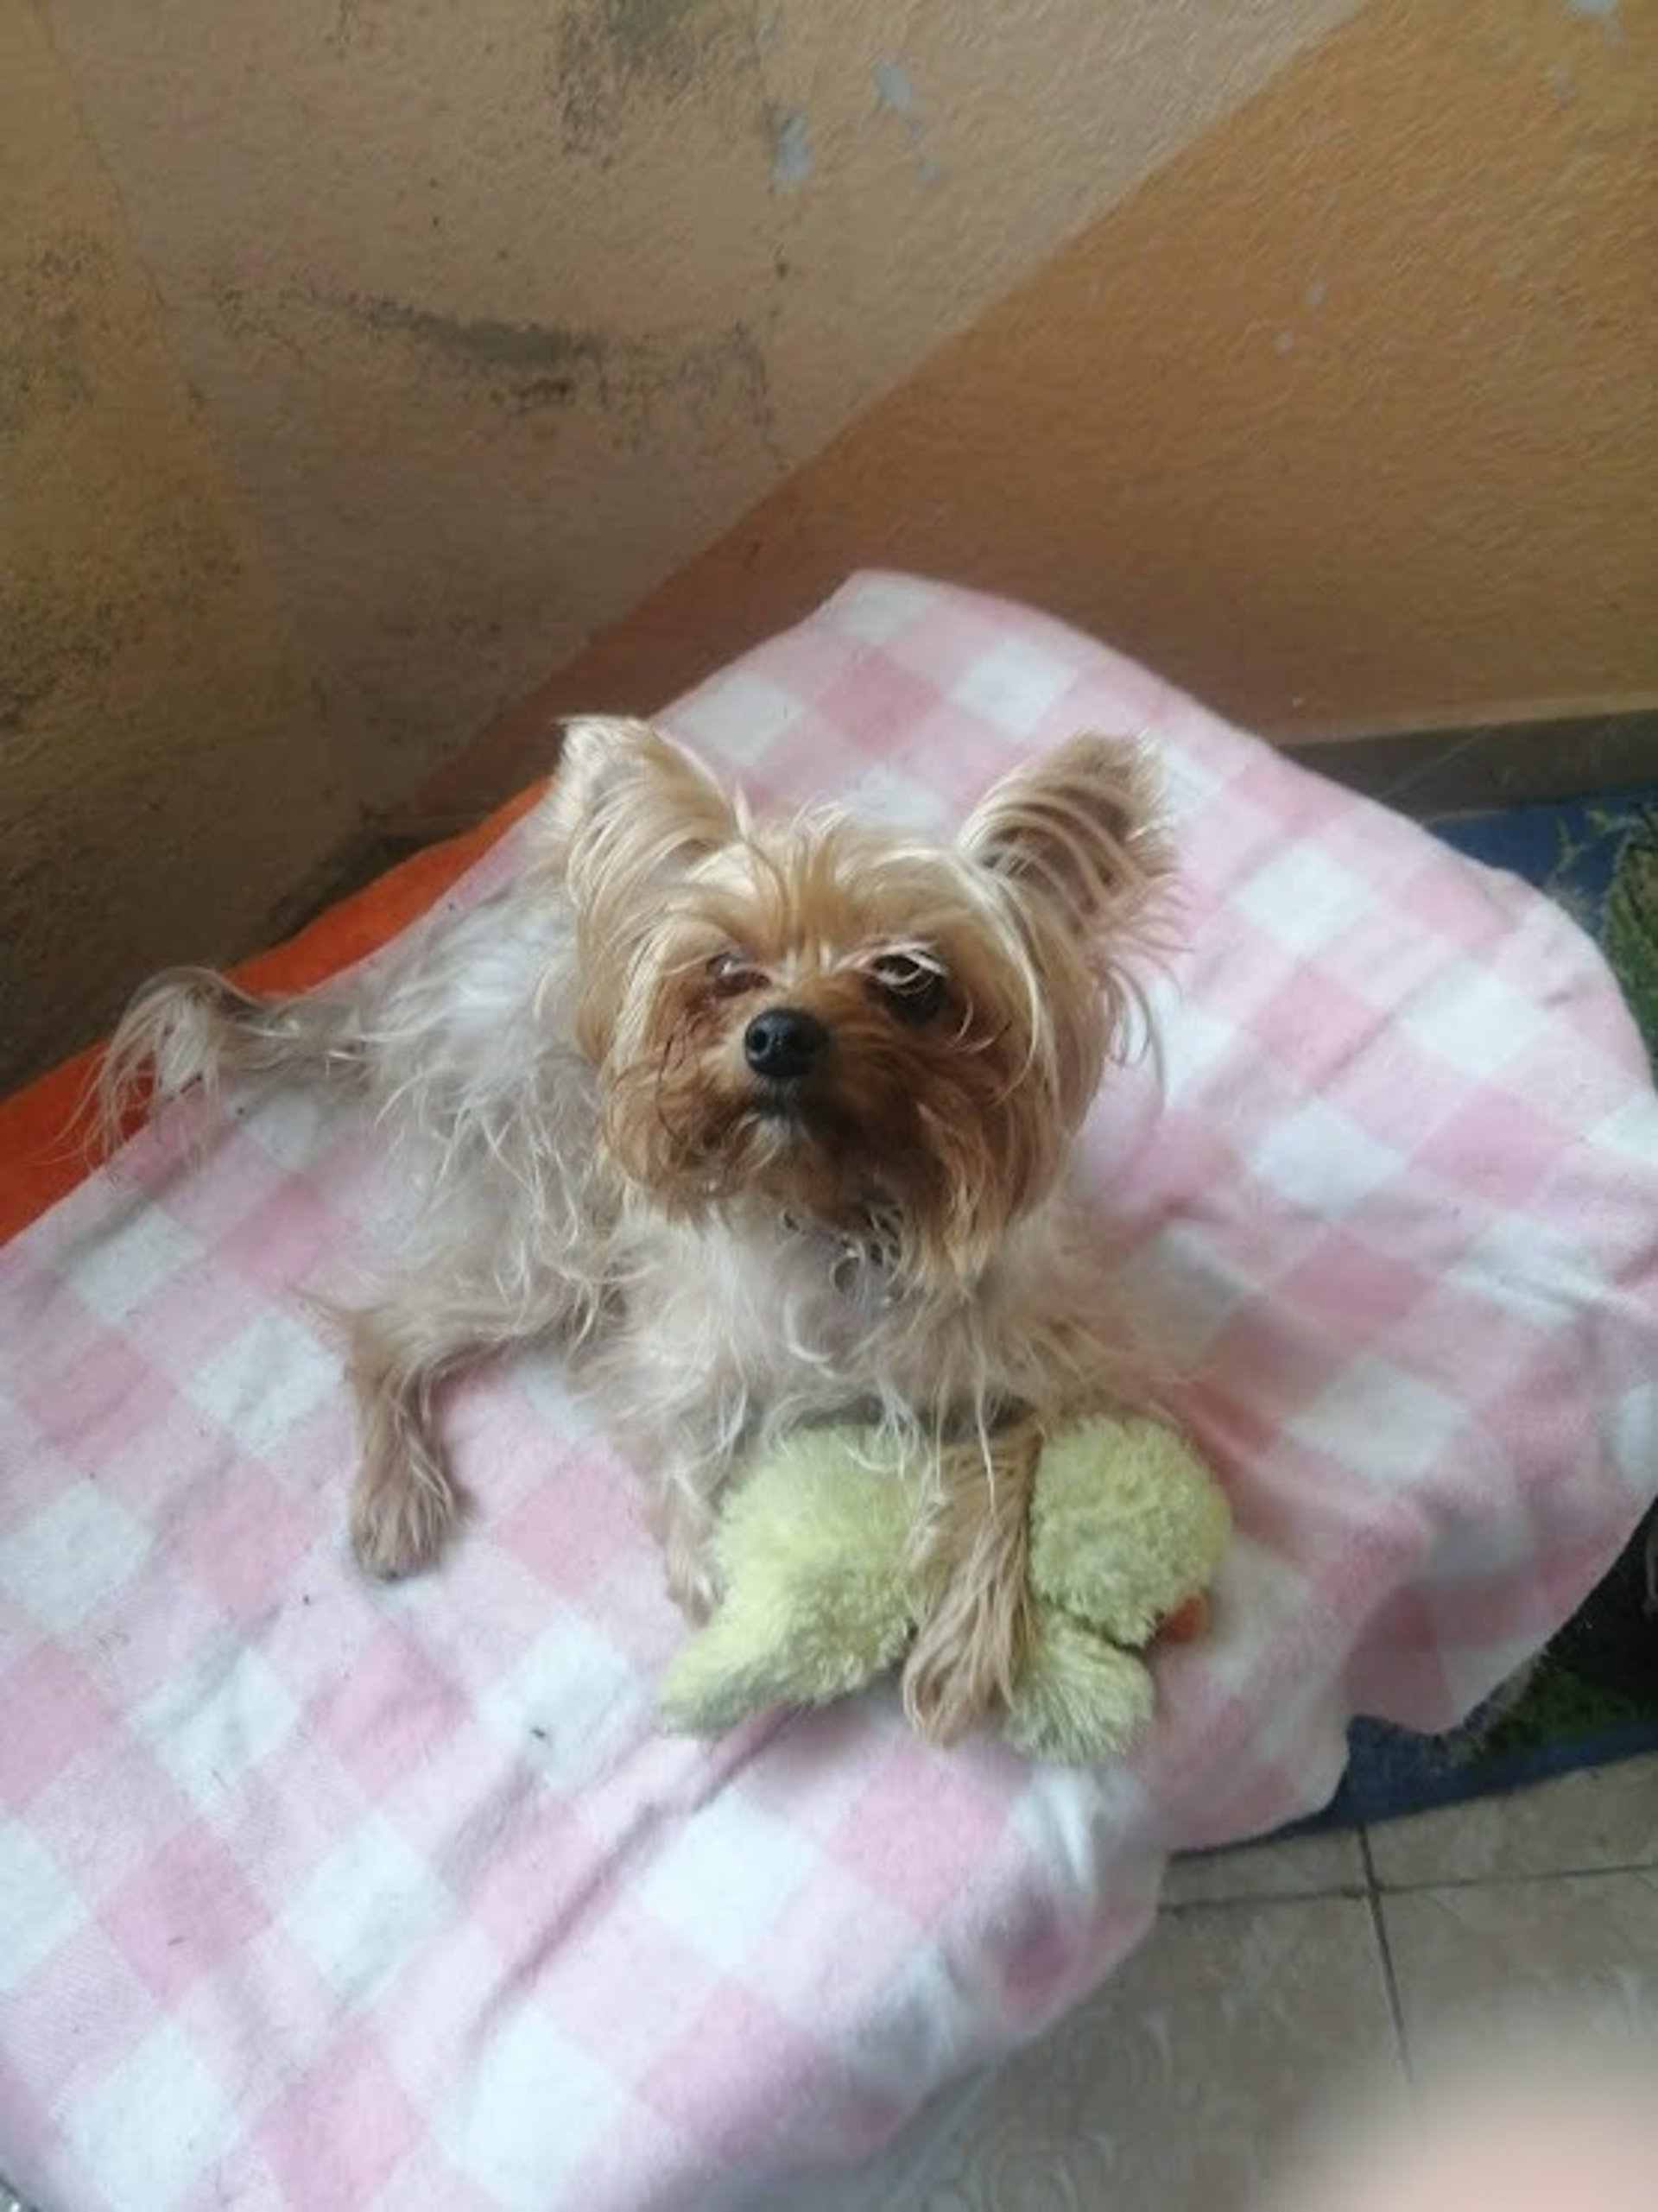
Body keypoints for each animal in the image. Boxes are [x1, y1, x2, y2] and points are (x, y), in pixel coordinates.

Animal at [104, 716, 1175, 1733]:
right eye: (727, 967)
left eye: (912, 979)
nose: (779, 1034)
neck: (837, 1211)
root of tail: (415, 974)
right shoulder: (676, 1366)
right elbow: (695, 1484)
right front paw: (756, 1607)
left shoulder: (1053, 1354)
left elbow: (1016, 1463)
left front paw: (960, 1647)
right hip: (550, 1223)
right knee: (384, 1327)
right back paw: (396, 1493)